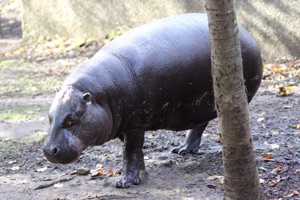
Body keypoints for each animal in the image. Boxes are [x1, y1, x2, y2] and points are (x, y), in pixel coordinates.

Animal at [42, 13, 262, 188]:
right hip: (201, 105)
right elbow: (134, 152)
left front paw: (125, 182)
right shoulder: (127, 125)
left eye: (71, 119)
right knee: (199, 124)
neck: (98, 94)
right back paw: (182, 150)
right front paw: (139, 173)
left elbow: (130, 151)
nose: (48, 150)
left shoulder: (135, 124)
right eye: (49, 117)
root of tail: (246, 33)